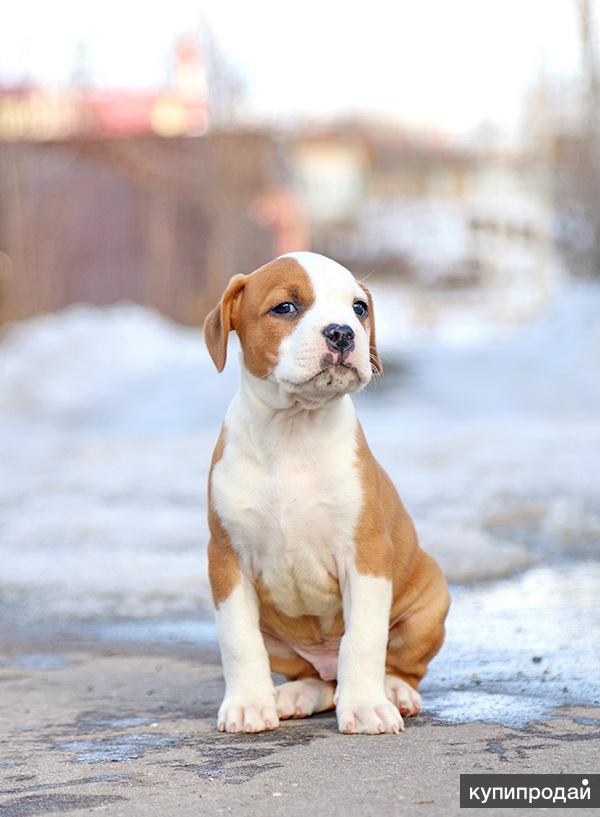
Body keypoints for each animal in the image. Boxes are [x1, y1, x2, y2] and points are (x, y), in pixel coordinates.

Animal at [204, 252, 448, 736]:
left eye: (359, 308)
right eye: (285, 307)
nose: (342, 332)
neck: (293, 431)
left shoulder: (367, 556)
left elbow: (364, 639)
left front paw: (367, 707)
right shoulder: (226, 558)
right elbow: (239, 641)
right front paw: (248, 705)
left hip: (430, 603)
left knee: (400, 664)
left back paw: (393, 691)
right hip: (282, 640)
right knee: (314, 676)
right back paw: (296, 694)